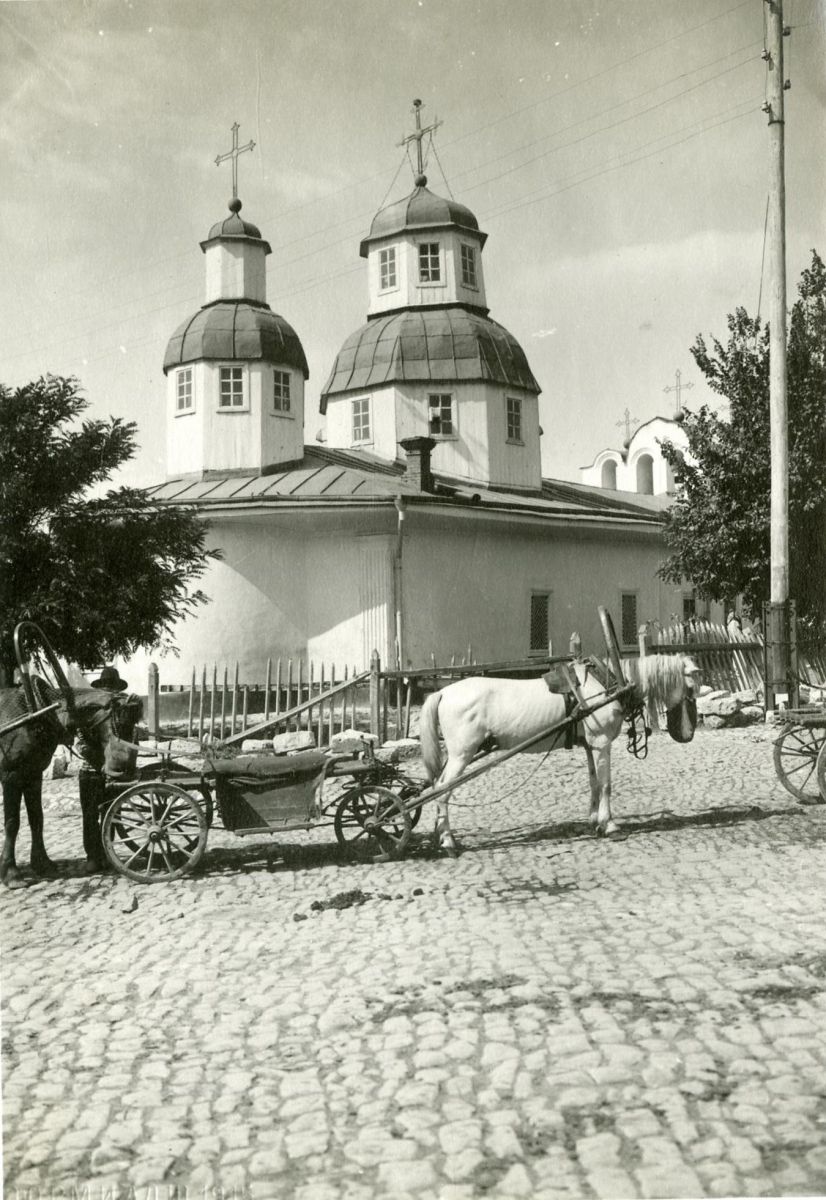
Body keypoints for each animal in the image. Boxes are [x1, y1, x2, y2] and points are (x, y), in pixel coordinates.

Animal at [0, 681, 138, 888]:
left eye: (133, 726)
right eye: (119, 723)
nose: (124, 770)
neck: (36, 712)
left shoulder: (33, 775)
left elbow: (37, 818)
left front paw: (42, 863)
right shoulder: (11, 776)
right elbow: (12, 823)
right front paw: (11, 873)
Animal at [420, 657, 696, 854]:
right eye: (692, 683)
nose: (686, 730)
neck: (607, 684)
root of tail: (443, 692)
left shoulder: (590, 746)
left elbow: (594, 782)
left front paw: (594, 820)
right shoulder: (601, 743)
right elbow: (606, 785)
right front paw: (610, 825)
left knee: (436, 786)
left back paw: (439, 833)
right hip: (462, 754)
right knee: (443, 790)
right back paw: (448, 841)